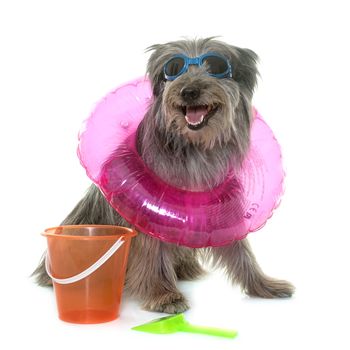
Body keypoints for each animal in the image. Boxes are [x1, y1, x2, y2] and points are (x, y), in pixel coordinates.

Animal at [33, 39, 296, 314]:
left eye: (215, 67)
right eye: (174, 68)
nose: (189, 91)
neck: (196, 146)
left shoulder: (226, 207)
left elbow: (242, 252)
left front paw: (264, 285)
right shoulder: (148, 212)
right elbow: (153, 254)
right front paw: (163, 294)